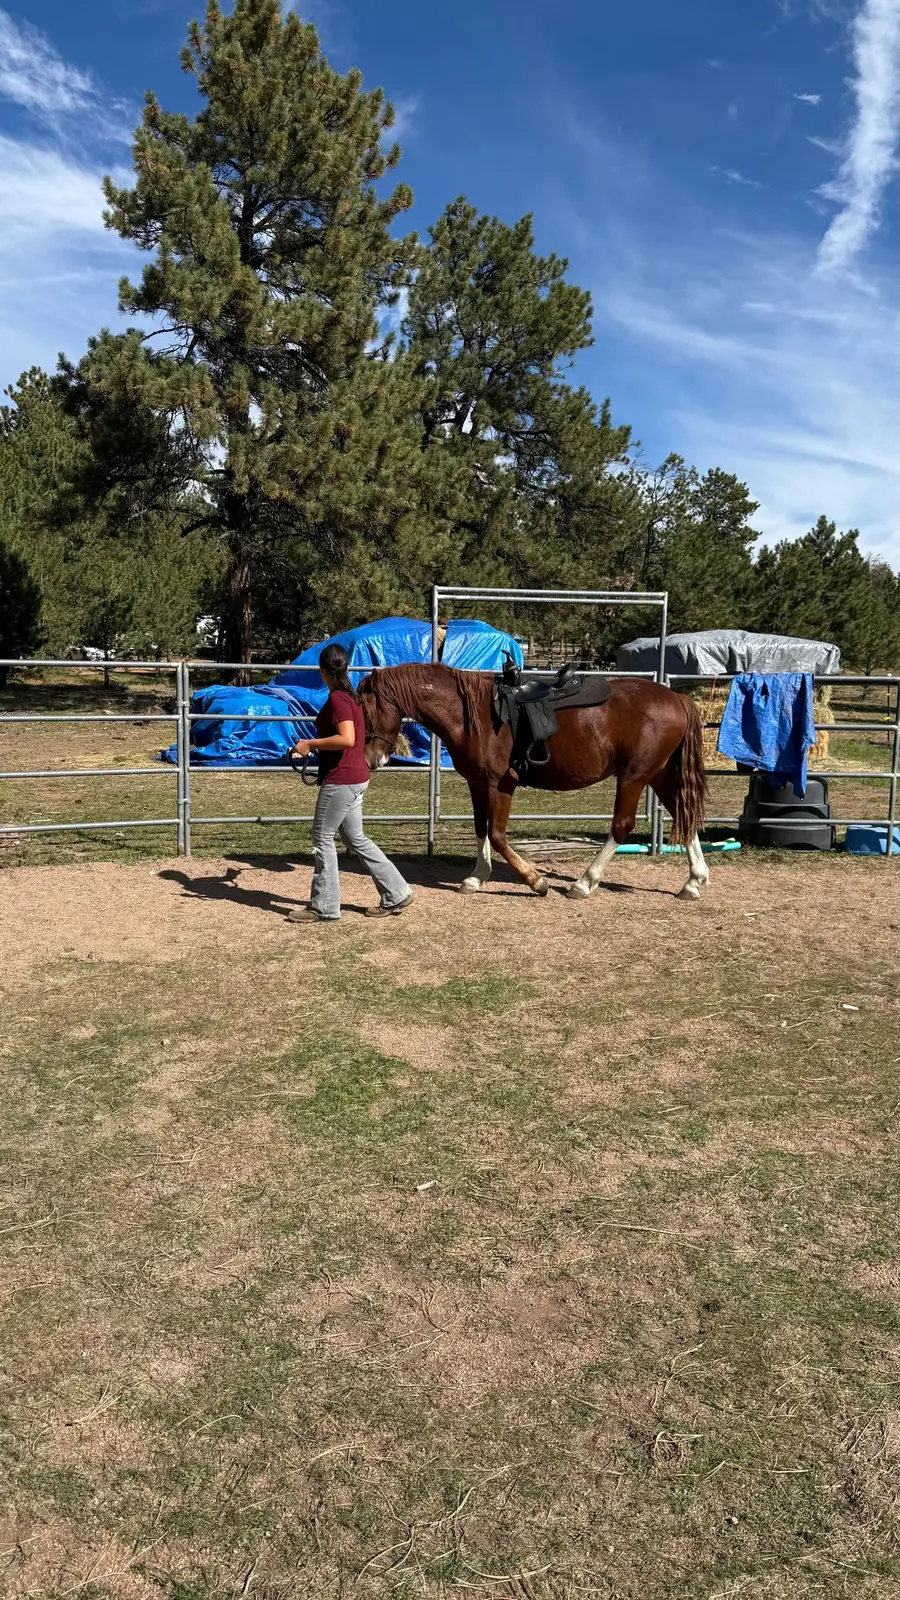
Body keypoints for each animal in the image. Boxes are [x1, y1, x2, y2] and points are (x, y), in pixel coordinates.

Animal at [357, 664, 710, 901]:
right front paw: (477, 877)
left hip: (635, 776)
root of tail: (676, 698)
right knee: (684, 814)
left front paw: (536, 881)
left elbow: (498, 836)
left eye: (368, 710)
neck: (471, 714)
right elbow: (481, 829)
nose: (371, 759)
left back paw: (584, 883)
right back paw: (694, 882)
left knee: (622, 826)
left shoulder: (501, 785)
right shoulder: (477, 783)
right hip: (658, 774)